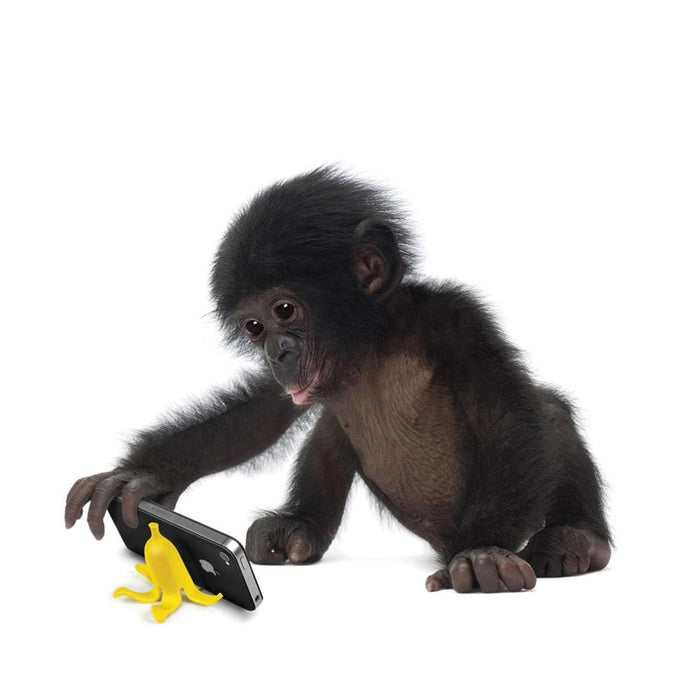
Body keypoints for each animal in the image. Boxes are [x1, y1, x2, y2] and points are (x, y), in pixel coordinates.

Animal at [65, 166, 612, 593]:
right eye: (254, 327)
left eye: (285, 310)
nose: (277, 352)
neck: (373, 345)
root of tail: (438, 541)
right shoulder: (296, 384)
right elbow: (260, 413)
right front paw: (142, 476)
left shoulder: (456, 321)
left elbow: (504, 413)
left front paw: (483, 553)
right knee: (329, 431)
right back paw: (298, 528)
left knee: (548, 413)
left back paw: (577, 538)